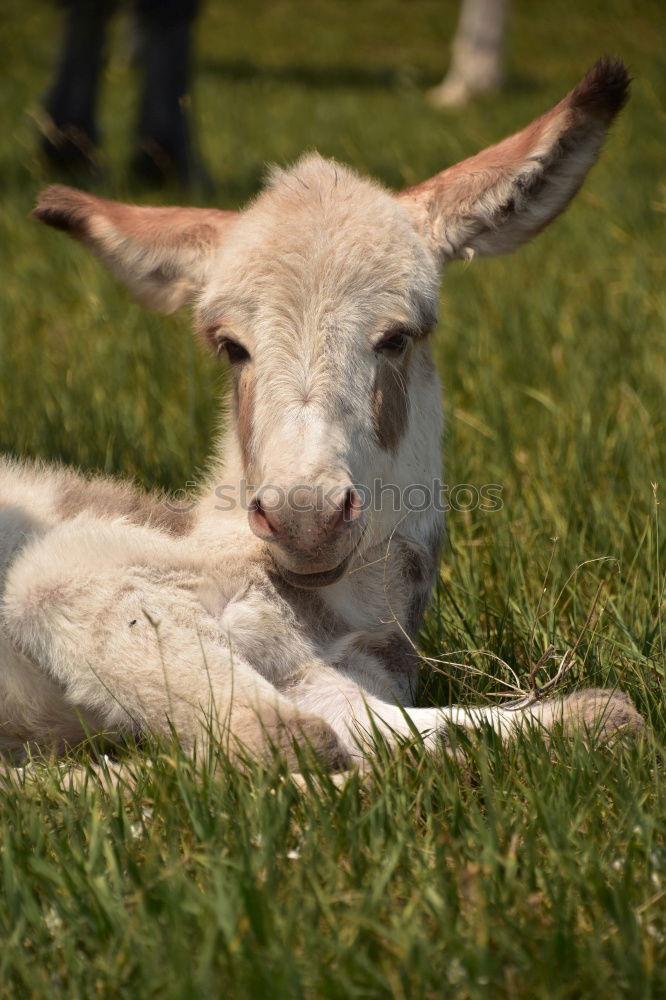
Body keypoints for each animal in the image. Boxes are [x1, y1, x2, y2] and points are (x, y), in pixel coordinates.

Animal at [0, 60, 644, 764]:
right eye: (231, 347)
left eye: (397, 337)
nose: (305, 519)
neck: (327, 614)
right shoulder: (66, 576)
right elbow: (288, 738)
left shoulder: (336, 672)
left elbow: (598, 718)